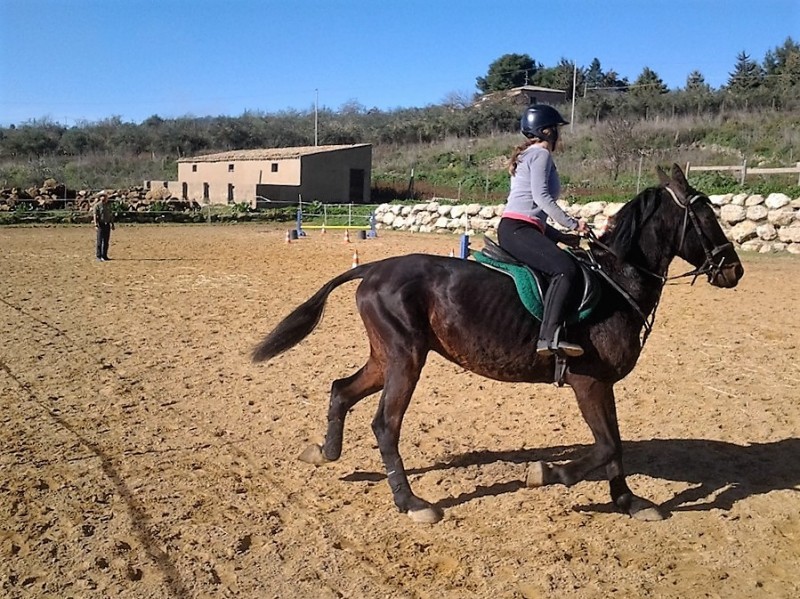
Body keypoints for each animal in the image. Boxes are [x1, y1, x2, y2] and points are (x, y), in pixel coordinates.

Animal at [252, 164, 744, 524]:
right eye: (705, 218)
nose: (734, 270)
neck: (615, 282)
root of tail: (373, 268)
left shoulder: (600, 384)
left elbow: (615, 446)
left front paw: (630, 503)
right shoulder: (589, 381)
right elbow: (607, 446)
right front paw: (549, 473)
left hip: (385, 356)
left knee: (341, 390)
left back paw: (325, 453)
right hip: (405, 358)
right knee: (385, 425)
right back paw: (412, 504)